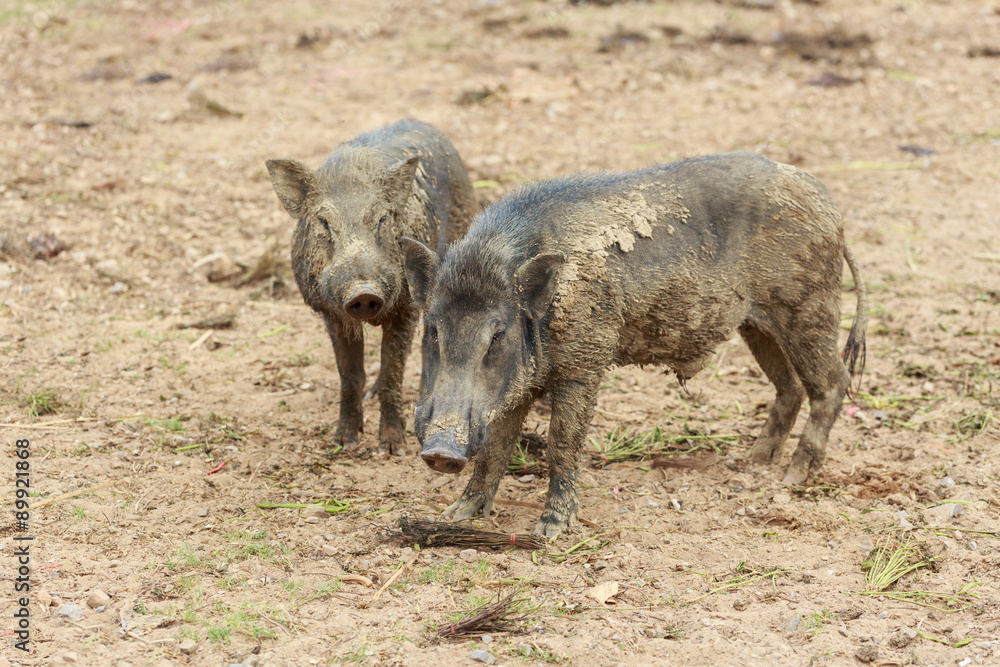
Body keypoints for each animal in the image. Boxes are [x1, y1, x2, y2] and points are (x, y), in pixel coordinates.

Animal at [266, 118, 476, 456]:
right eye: (324, 221)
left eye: (382, 218)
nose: (364, 292)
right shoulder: (332, 313)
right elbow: (350, 376)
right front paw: (344, 443)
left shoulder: (405, 307)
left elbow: (392, 371)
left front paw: (393, 448)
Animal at [400, 152, 867, 537]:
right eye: (433, 329)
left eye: (496, 334)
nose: (441, 452)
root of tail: (832, 211)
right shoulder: (516, 389)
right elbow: (495, 448)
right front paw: (454, 516)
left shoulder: (586, 363)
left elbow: (561, 444)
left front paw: (550, 532)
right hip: (758, 325)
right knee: (789, 386)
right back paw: (754, 460)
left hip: (809, 309)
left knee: (833, 383)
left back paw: (793, 476)